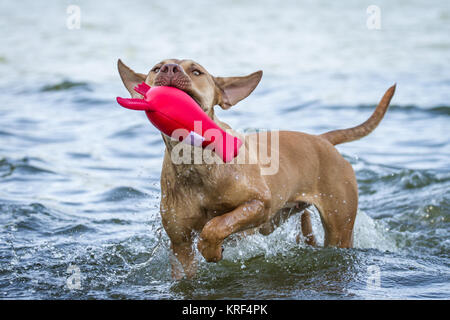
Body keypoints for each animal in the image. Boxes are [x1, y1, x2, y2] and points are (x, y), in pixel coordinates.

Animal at [118, 58, 396, 278]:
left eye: (196, 71)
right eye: (156, 68)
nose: (169, 68)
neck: (195, 163)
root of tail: (323, 139)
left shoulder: (260, 203)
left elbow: (217, 224)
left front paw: (211, 248)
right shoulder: (180, 243)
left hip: (339, 227)